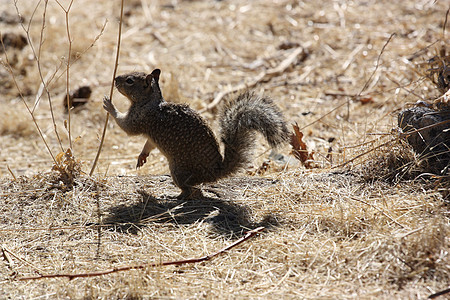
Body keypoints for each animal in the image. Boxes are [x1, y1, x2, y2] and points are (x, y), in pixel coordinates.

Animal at [103, 69, 290, 198]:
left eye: (130, 80)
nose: (115, 79)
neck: (149, 101)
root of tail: (215, 172)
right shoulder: (150, 135)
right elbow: (148, 144)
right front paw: (142, 157)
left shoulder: (139, 118)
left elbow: (126, 127)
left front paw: (110, 106)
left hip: (178, 170)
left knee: (190, 190)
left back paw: (174, 196)